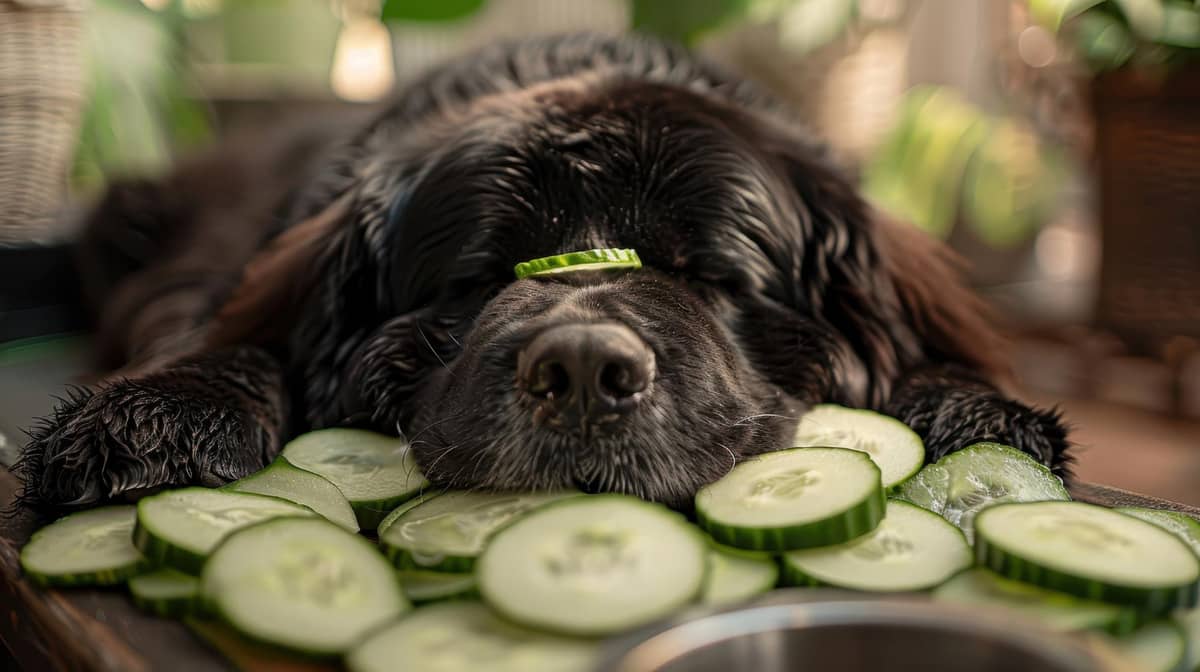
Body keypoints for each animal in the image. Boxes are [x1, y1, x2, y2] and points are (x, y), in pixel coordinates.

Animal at [16, 32, 1070, 508]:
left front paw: (972, 410)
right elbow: (238, 340)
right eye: (481, 279)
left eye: (714, 278)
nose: (583, 370)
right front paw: (162, 413)